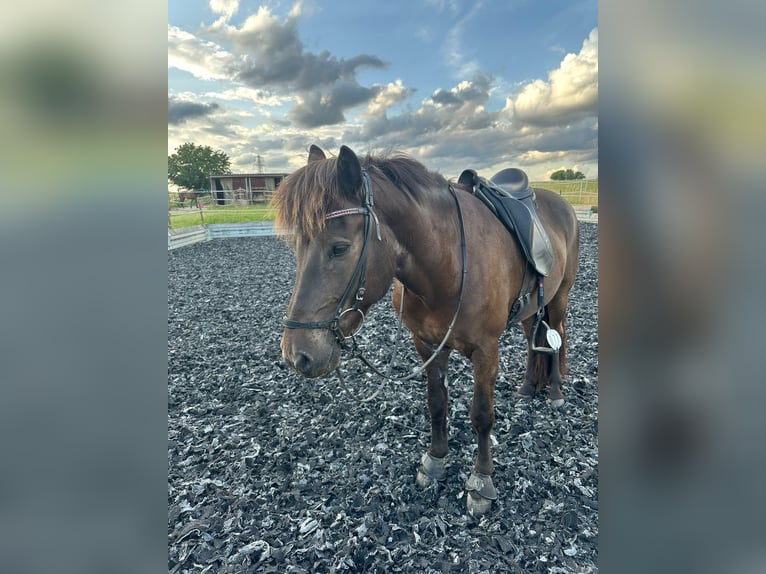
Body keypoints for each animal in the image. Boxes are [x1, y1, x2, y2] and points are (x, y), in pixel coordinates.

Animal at [275, 145, 580, 516]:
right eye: (296, 247)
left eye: (340, 247)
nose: (297, 355)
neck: (449, 263)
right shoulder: (427, 345)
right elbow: (436, 403)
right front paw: (435, 461)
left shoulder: (486, 351)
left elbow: (482, 415)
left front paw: (481, 481)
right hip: (532, 307)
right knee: (532, 340)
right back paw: (526, 388)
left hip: (559, 297)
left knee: (556, 337)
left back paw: (555, 392)